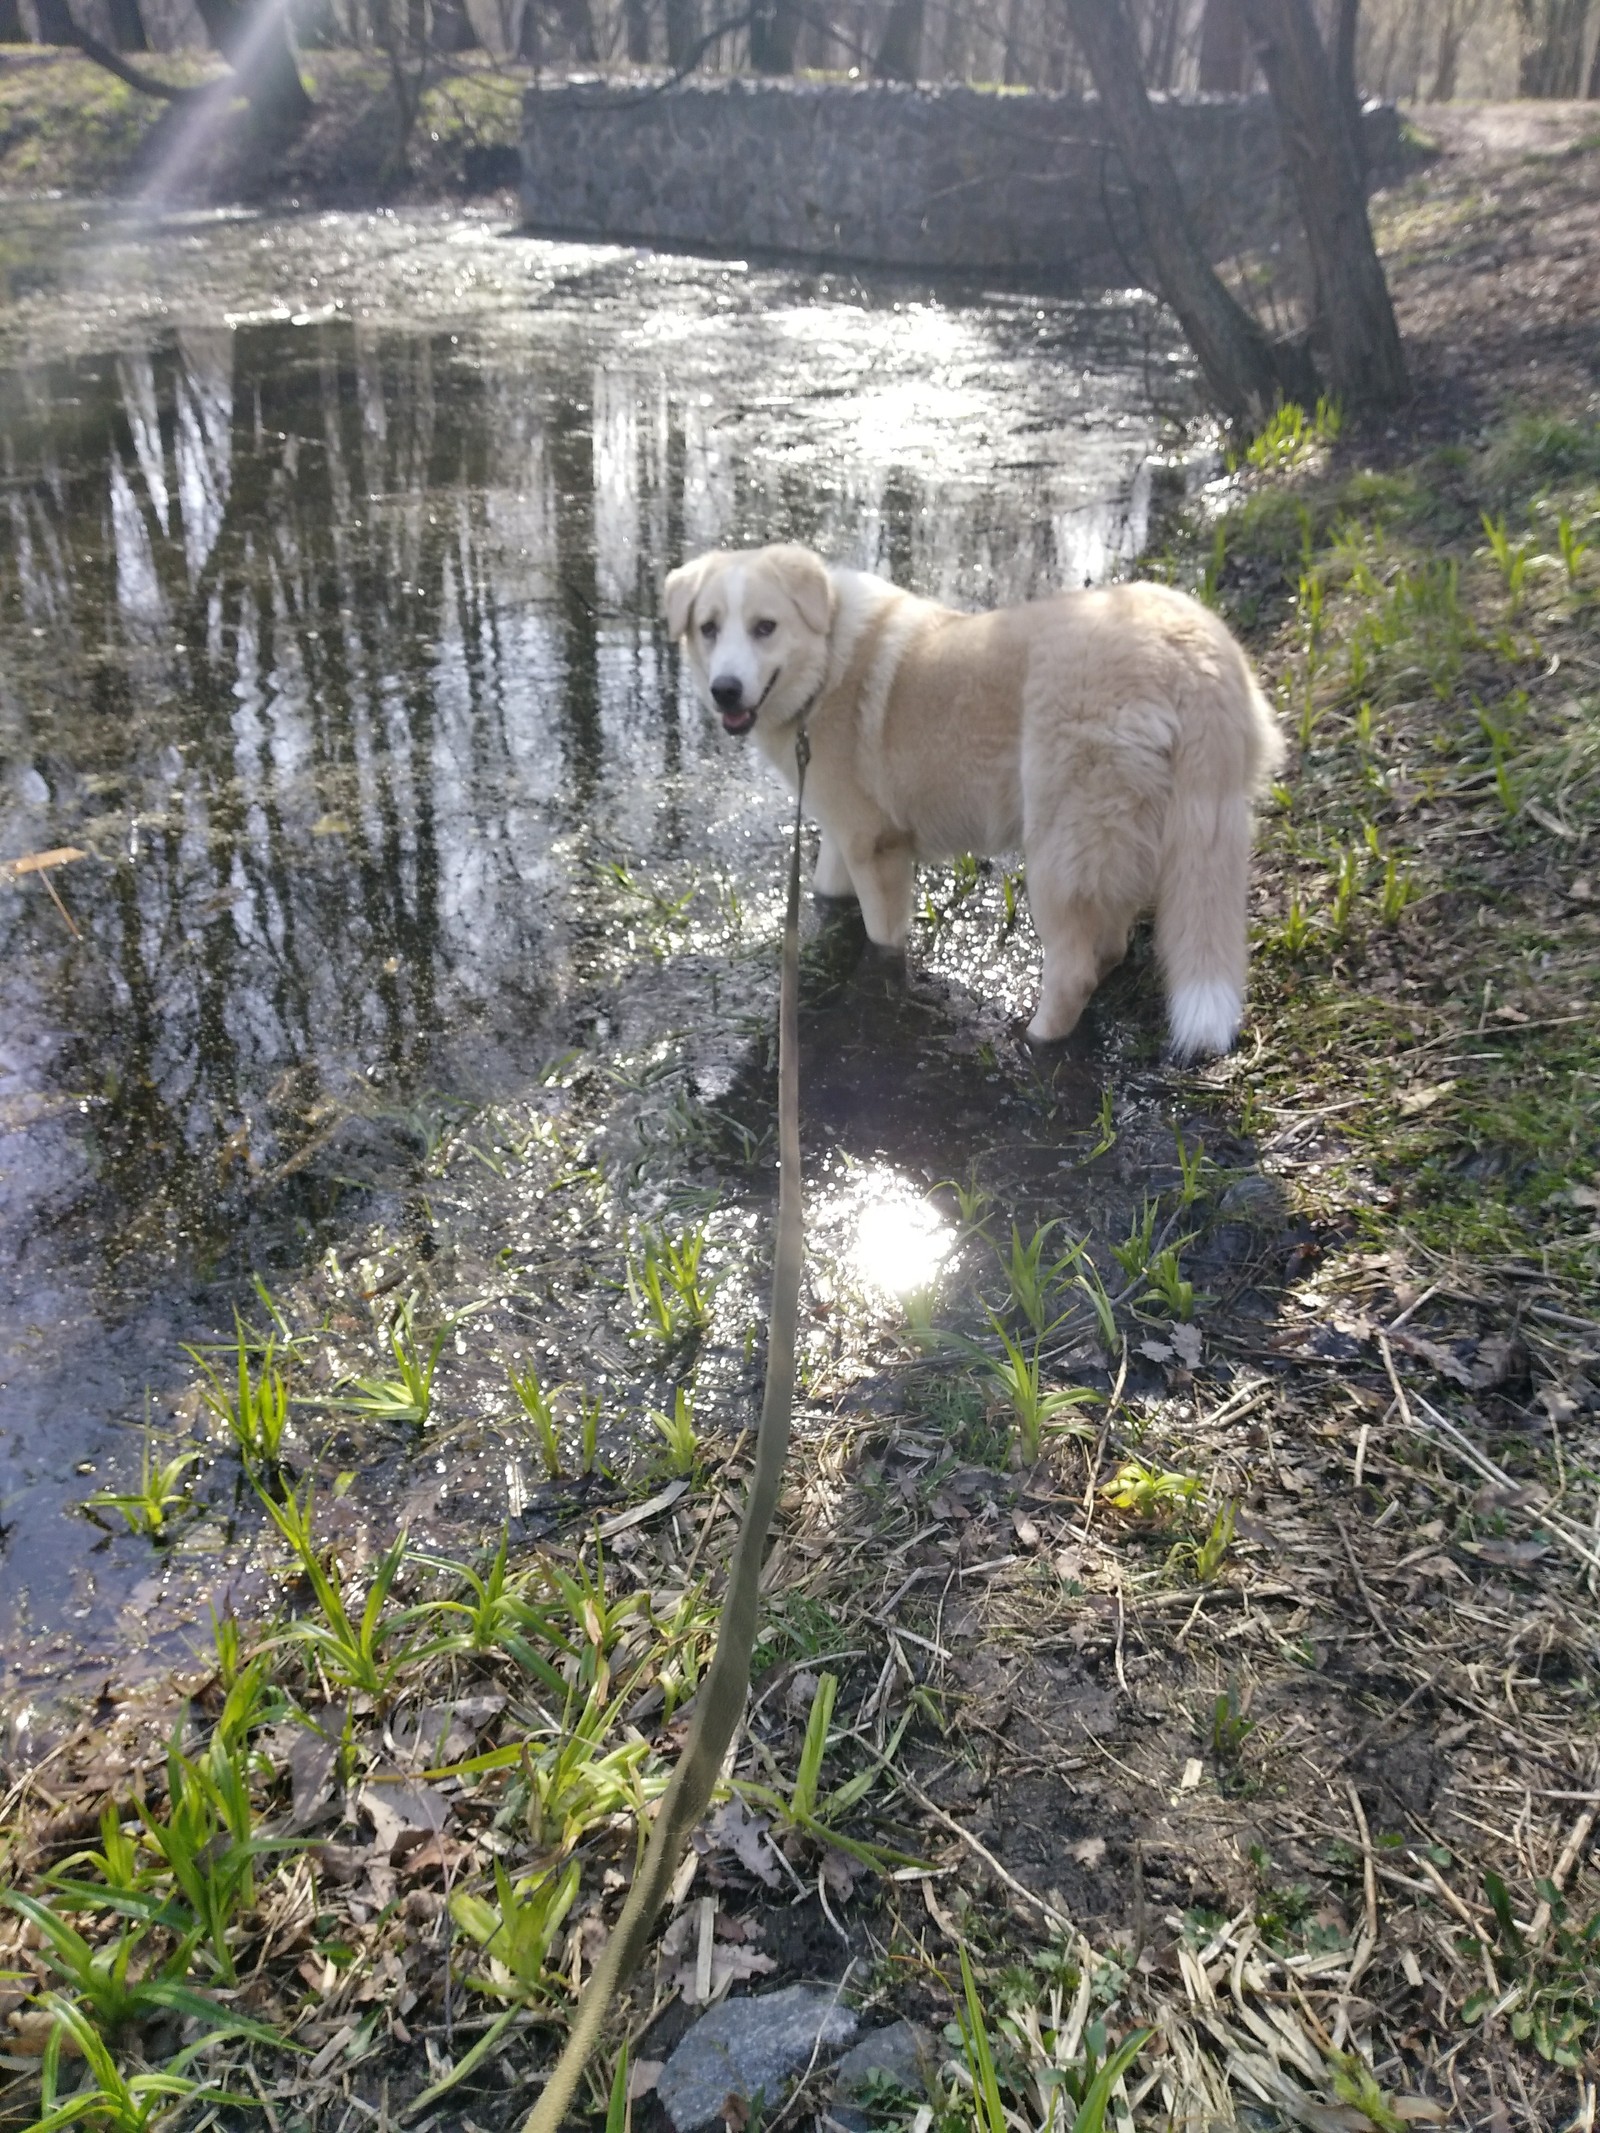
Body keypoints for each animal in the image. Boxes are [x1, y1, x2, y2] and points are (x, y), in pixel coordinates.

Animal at [665, 541, 1288, 1057]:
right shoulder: (844, 834)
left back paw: (1033, 1043)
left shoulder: (875, 848)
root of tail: (1194, 653)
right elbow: (827, 890)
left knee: (1074, 972)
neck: (825, 665)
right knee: (1108, 945)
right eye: (709, 628)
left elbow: (882, 939)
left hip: (1060, 851)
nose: (725, 690)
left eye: (765, 627)